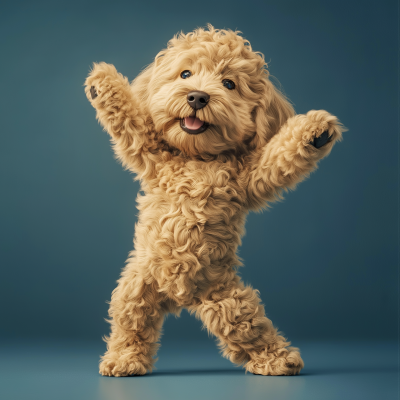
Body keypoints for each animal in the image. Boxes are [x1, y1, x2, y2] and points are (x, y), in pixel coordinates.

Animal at [83, 24, 344, 376]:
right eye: (185, 74)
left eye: (229, 83)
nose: (197, 96)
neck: (198, 158)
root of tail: (178, 298)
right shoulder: (152, 155)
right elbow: (131, 123)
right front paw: (102, 82)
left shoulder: (248, 177)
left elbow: (277, 158)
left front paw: (315, 132)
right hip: (136, 289)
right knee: (131, 323)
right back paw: (125, 360)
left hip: (228, 300)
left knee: (248, 328)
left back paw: (278, 359)